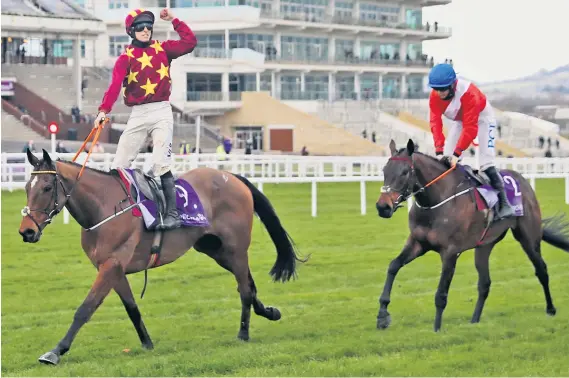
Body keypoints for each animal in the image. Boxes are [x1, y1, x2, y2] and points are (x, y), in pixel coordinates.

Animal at [16, 149, 306, 364]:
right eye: (27, 187)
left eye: (46, 187)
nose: (26, 231)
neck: (105, 207)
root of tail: (231, 176)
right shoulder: (113, 268)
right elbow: (132, 308)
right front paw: (147, 343)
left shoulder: (111, 265)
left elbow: (85, 309)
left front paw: (56, 351)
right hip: (215, 249)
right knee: (248, 283)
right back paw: (269, 312)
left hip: (235, 248)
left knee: (245, 289)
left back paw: (243, 333)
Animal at [374, 139, 564, 330]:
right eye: (384, 170)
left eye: (405, 172)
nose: (382, 207)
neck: (436, 202)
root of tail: (522, 180)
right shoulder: (418, 243)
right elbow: (393, 266)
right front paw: (382, 314)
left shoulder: (450, 252)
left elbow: (441, 294)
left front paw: (436, 330)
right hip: (484, 245)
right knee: (485, 283)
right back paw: (474, 321)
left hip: (528, 238)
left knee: (541, 270)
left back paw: (551, 309)